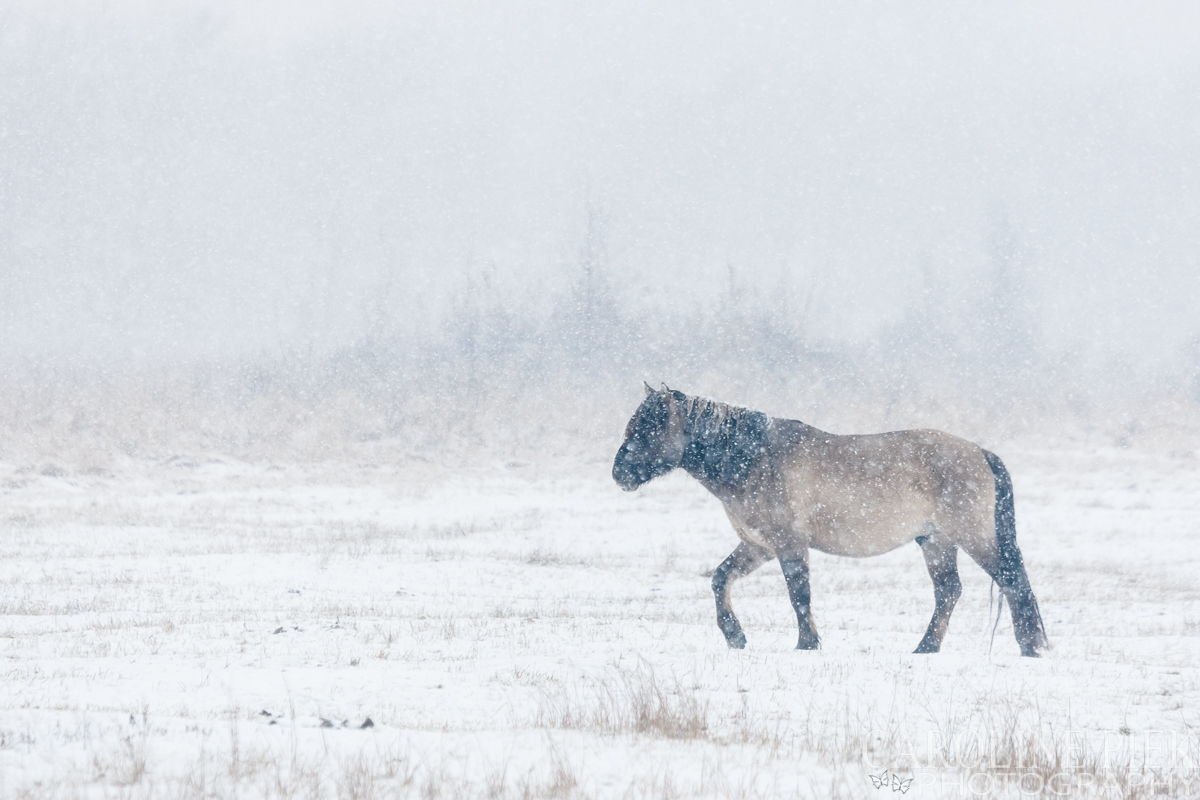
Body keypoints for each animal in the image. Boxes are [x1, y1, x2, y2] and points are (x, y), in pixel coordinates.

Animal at [614, 386, 1046, 657]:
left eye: (650, 427)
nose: (619, 473)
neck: (754, 459)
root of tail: (980, 452)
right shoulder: (758, 546)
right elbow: (721, 579)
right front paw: (735, 637)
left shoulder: (789, 544)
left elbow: (799, 595)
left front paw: (807, 644)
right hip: (936, 541)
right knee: (950, 592)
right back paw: (926, 648)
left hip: (973, 538)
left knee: (1011, 581)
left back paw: (1031, 647)